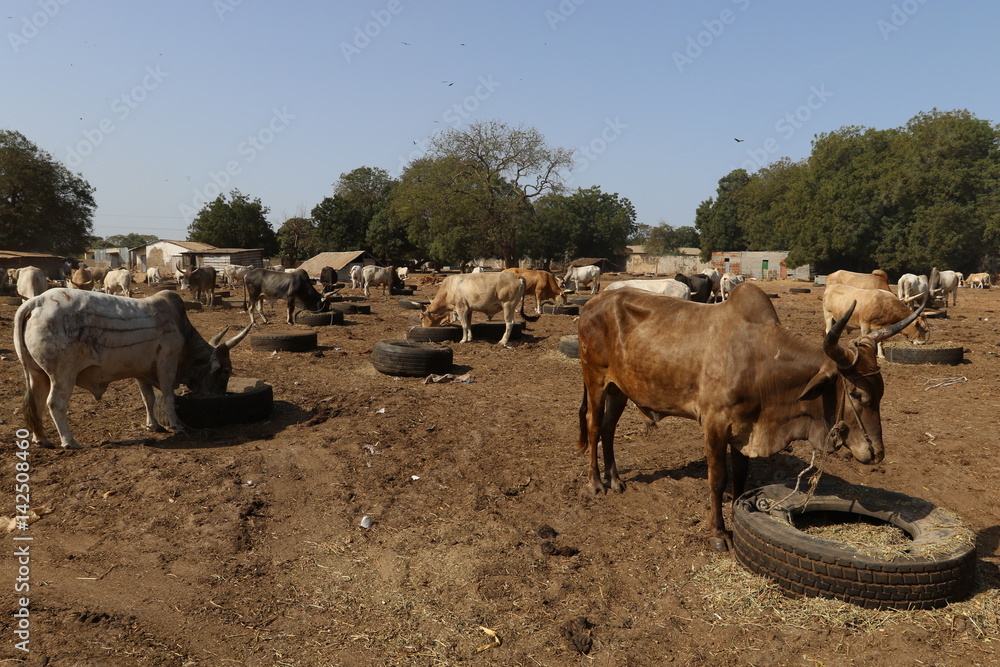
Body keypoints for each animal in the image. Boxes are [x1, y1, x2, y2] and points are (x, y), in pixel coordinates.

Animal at [14, 289, 252, 449]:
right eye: (226, 371)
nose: (220, 395)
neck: (182, 330)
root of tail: (36, 302)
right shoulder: (167, 364)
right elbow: (168, 397)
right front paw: (177, 426)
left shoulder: (141, 371)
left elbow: (149, 399)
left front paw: (152, 425)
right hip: (63, 374)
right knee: (55, 403)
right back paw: (69, 441)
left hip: (37, 374)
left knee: (36, 402)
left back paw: (41, 439)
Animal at [576, 282, 924, 551]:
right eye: (856, 393)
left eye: (881, 392)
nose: (877, 453)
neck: (760, 362)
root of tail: (593, 302)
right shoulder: (715, 425)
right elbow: (718, 480)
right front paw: (718, 533)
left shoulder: (743, 430)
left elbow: (741, 477)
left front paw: (739, 513)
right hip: (595, 380)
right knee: (593, 426)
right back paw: (595, 483)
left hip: (619, 389)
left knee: (608, 429)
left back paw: (615, 479)